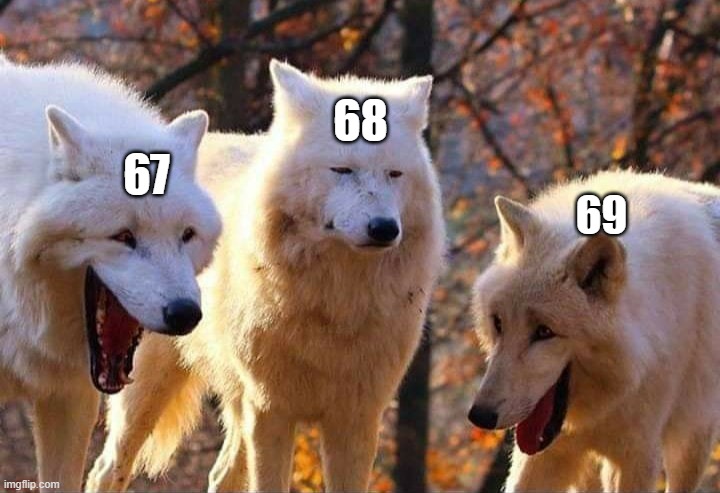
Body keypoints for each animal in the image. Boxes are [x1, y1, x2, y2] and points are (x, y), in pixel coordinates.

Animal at [86, 60, 445, 492]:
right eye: (342, 169)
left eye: (395, 174)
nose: (385, 229)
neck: (336, 302)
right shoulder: (271, 409)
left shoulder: (357, 417)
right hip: (148, 387)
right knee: (107, 469)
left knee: (221, 474)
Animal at [468, 170, 720, 492]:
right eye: (499, 323)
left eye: (544, 332)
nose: (480, 415)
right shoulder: (545, 453)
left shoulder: (637, 456)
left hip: (691, 443)